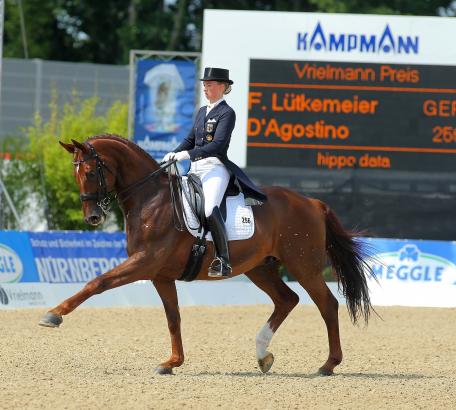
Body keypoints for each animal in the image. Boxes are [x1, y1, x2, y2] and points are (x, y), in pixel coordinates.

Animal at [39, 135, 374, 374]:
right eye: (76, 174)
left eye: (89, 171)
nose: (92, 217)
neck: (151, 199)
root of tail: (312, 202)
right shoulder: (160, 275)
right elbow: (173, 317)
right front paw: (172, 362)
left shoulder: (144, 262)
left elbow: (97, 283)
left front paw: (53, 315)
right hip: (260, 268)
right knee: (286, 300)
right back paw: (263, 355)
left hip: (303, 266)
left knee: (327, 304)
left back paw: (328, 365)